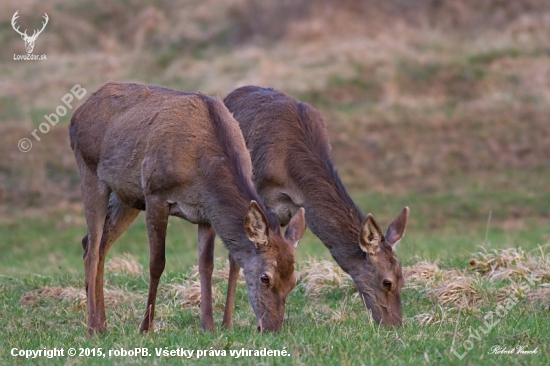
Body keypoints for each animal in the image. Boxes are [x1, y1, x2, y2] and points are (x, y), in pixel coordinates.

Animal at [70, 81, 306, 334]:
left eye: (293, 281)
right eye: (265, 277)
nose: (271, 328)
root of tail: (77, 114)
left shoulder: (206, 212)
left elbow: (206, 265)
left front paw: (208, 325)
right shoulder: (155, 193)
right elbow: (157, 263)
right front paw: (146, 327)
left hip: (127, 196)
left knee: (95, 244)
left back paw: (103, 324)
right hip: (90, 170)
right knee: (92, 249)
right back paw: (92, 326)